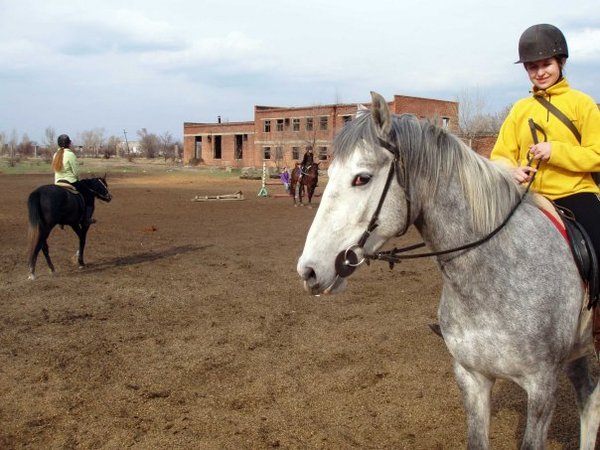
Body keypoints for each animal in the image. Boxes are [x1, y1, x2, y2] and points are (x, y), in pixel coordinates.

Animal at [296, 92, 600, 450]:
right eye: (328, 171)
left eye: (362, 178)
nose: (309, 270)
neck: (494, 277)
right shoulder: (472, 378)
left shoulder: (542, 387)